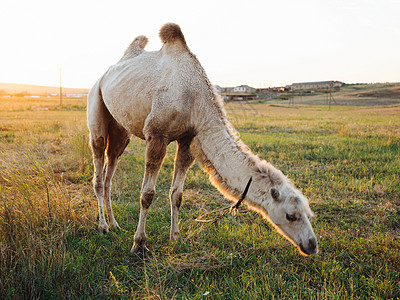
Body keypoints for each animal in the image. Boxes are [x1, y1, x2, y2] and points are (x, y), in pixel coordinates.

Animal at [88, 22, 318, 255]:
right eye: (291, 215)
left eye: (309, 214)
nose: (312, 245)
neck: (195, 100)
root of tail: (104, 75)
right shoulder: (157, 136)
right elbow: (147, 195)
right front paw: (139, 243)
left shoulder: (188, 139)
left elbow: (177, 194)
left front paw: (175, 237)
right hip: (95, 102)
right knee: (98, 167)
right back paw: (103, 227)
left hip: (120, 130)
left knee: (110, 168)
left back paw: (115, 224)